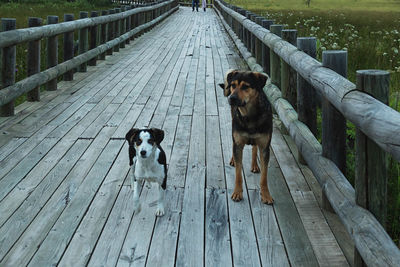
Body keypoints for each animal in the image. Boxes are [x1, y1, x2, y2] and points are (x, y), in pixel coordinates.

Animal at [220, 69, 274, 205]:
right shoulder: (238, 143)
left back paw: (254, 164)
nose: (232, 98)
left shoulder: (265, 147)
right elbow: (238, 174)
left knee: (254, 147)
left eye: (245, 86)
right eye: (233, 85)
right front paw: (237, 193)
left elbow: (264, 176)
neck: (250, 115)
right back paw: (233, 159)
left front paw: (266, 195)